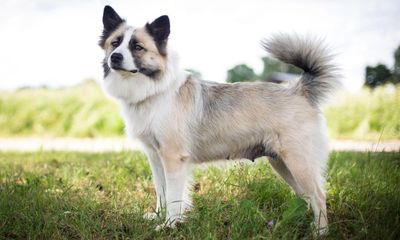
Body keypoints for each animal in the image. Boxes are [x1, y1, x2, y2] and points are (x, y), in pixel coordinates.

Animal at [98, 5, 340, 234]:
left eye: (137, 47)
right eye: (115, 43)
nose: (115, 57)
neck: (154, 91)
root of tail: (298, 89)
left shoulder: (173, 158)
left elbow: (174, 198)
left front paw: (169, 225)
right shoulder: (155, 158)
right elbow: (162, 192)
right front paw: (159, 217)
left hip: (298, 163)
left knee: (318, 196)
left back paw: (320, 232)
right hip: (282, 163)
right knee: (306, 198)